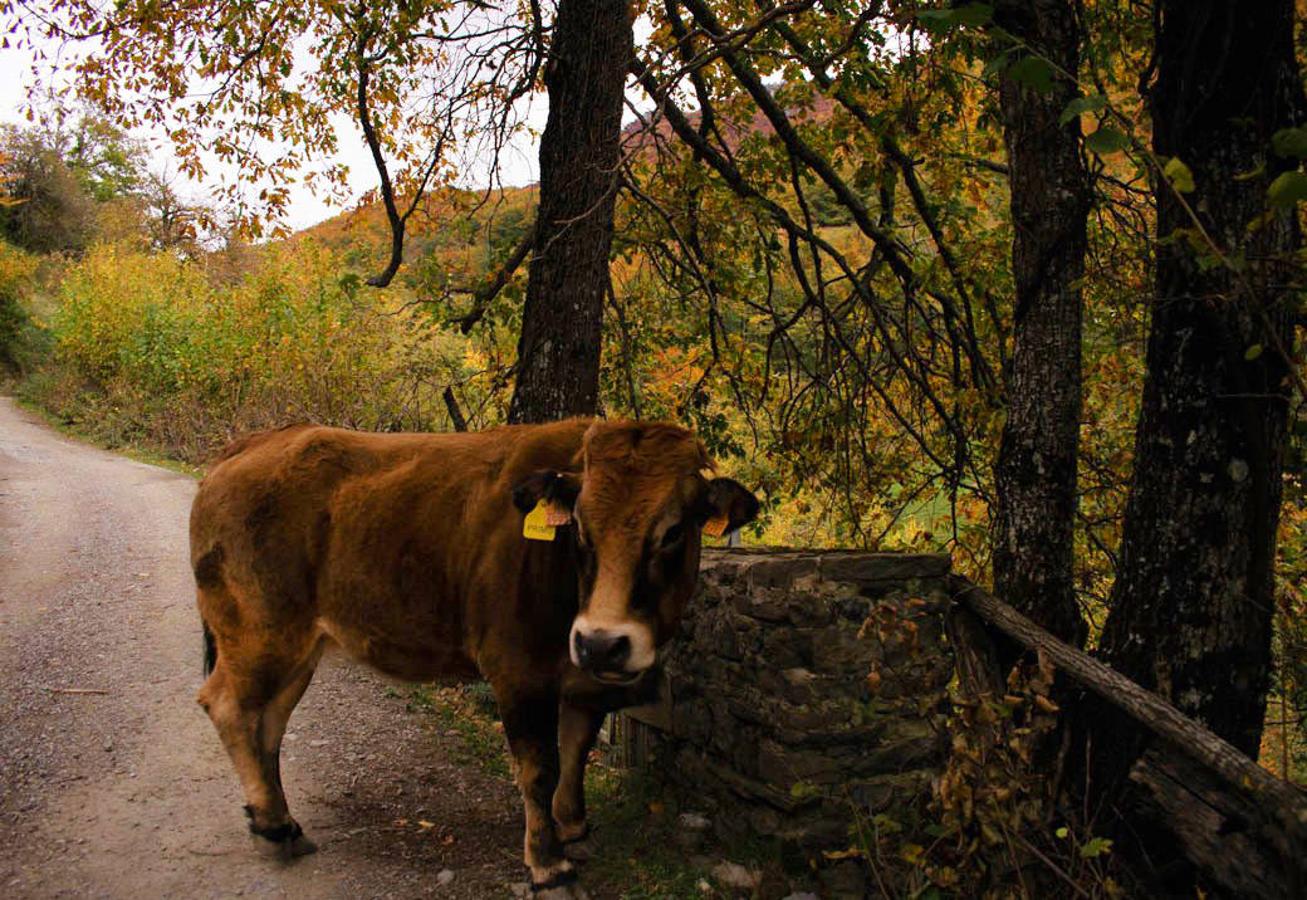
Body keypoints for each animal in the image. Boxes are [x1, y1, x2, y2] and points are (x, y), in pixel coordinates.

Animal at [190, 417, 758, 893]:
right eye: (579, 528)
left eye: (674, 531)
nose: (601, 641)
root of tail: (257, 442)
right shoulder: (519, 671)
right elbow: (540, 766)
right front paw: (548, 865)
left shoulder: (584, 681)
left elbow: (576, 747)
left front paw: (572, 826)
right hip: (259, 633)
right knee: (229, 707)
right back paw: (273, 826)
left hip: (297, 648)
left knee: (269, 722)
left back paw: (279, 819)